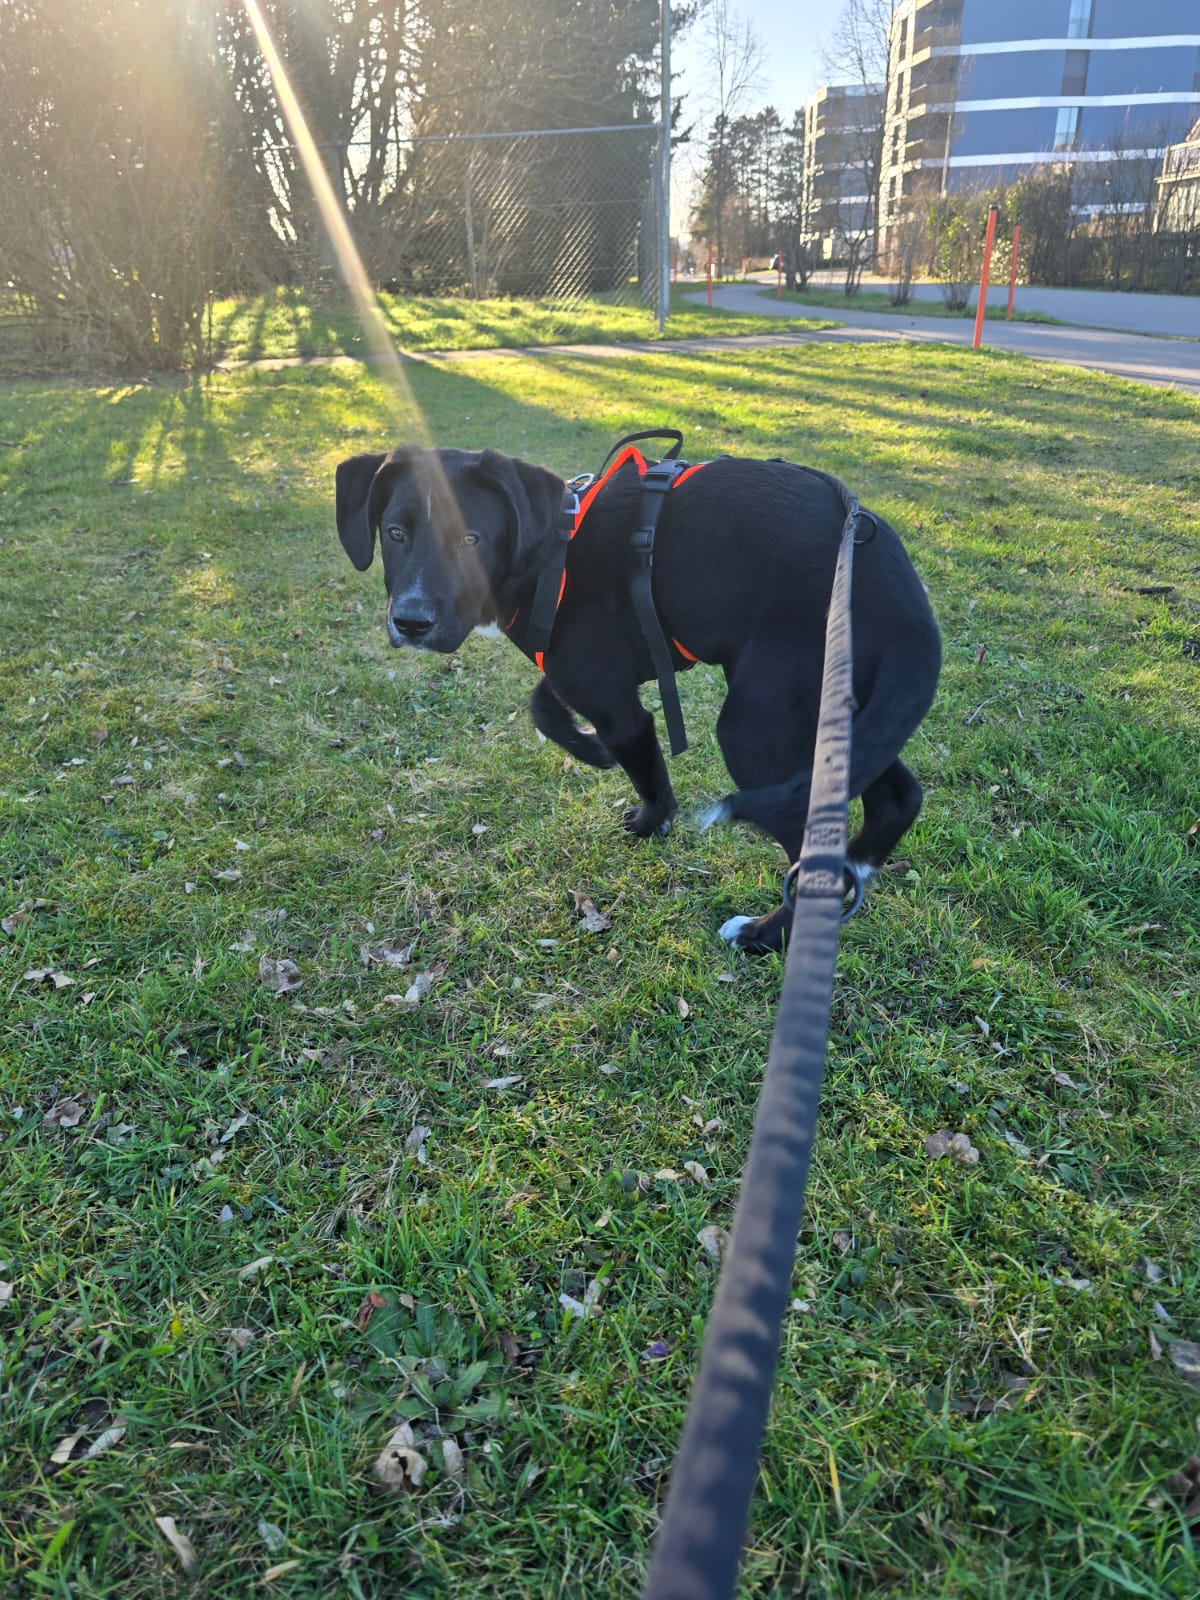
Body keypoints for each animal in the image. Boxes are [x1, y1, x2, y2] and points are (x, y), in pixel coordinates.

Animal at [334, 442, 941, 952]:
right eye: (395, 533)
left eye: (470, 539)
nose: (411, 622)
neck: (551, 554)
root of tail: (903, 596)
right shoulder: (593, 674)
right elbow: (546, 705)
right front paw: (595, 753)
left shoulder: (611, 699)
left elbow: (636, 757)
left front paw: (649, 816)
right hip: (836, 708)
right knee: (896, 797)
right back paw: (860, 873)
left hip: (755, 726)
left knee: (812, 847)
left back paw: (764, 934)